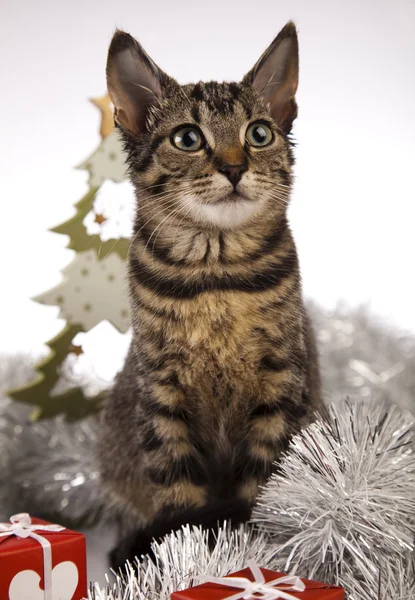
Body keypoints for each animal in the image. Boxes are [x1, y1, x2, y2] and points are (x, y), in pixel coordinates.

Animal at [99, 22, 324, 568]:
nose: (235, 167)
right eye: (188, 138)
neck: (216, 272)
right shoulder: (161, 389)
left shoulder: (281, 380)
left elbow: (265, 482)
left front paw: (249, 544)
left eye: (259, 134)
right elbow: (176, 488)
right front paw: (187, 552)